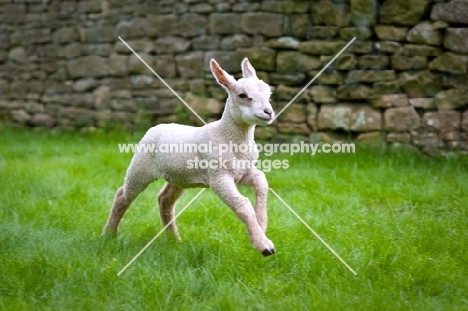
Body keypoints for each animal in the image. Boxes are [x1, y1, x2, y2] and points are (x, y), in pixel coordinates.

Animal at [102, 57, 276, 258]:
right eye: (242, 95)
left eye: (268, 93)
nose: (268, 112)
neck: (227, 135)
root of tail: (158, 126)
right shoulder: (218, 177)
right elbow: (243, 205)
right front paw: (264, 245)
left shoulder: (242, 172)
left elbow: (262, 182)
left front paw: (262, 224)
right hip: (140, 167)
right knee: (122, 195)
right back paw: (109, 234)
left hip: (178, 176)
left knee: (164, 200)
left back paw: (174, 240)